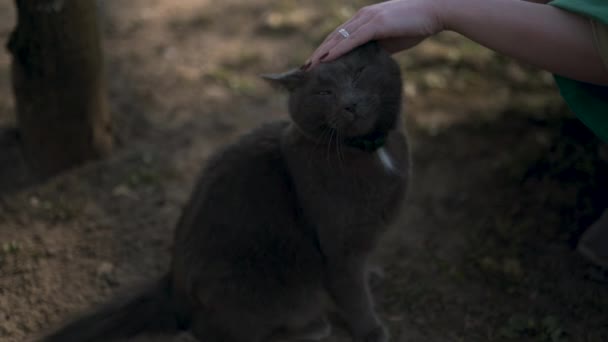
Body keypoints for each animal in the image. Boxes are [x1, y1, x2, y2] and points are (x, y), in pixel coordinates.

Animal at [41, 42, 408, 342]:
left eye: (359, 72)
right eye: (325, 94)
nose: (349, 104)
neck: (371, 151)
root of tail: (172, 284)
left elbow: (358, 277)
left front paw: (372, 275)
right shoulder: (338, 246)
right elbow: (352, 292)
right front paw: (371, 330)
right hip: (257, 283)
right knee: (211, 332)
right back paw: (311, 328)